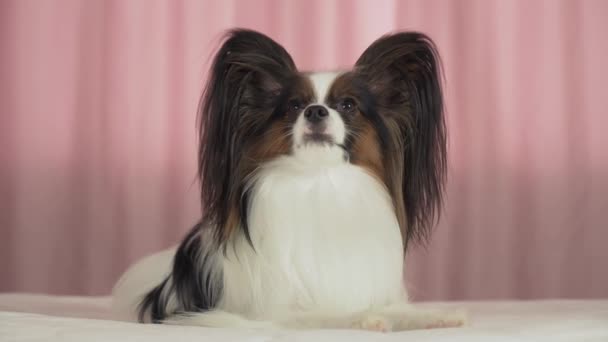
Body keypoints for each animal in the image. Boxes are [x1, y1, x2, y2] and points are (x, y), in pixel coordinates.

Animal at [113, 28, 466, 332]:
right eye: (295, 105)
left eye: (348, 105)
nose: (315, 111)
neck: (319, 180)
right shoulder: (276, 313)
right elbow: (327, 313)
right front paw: (366, 318)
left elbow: (395, 307)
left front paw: (434, 316)